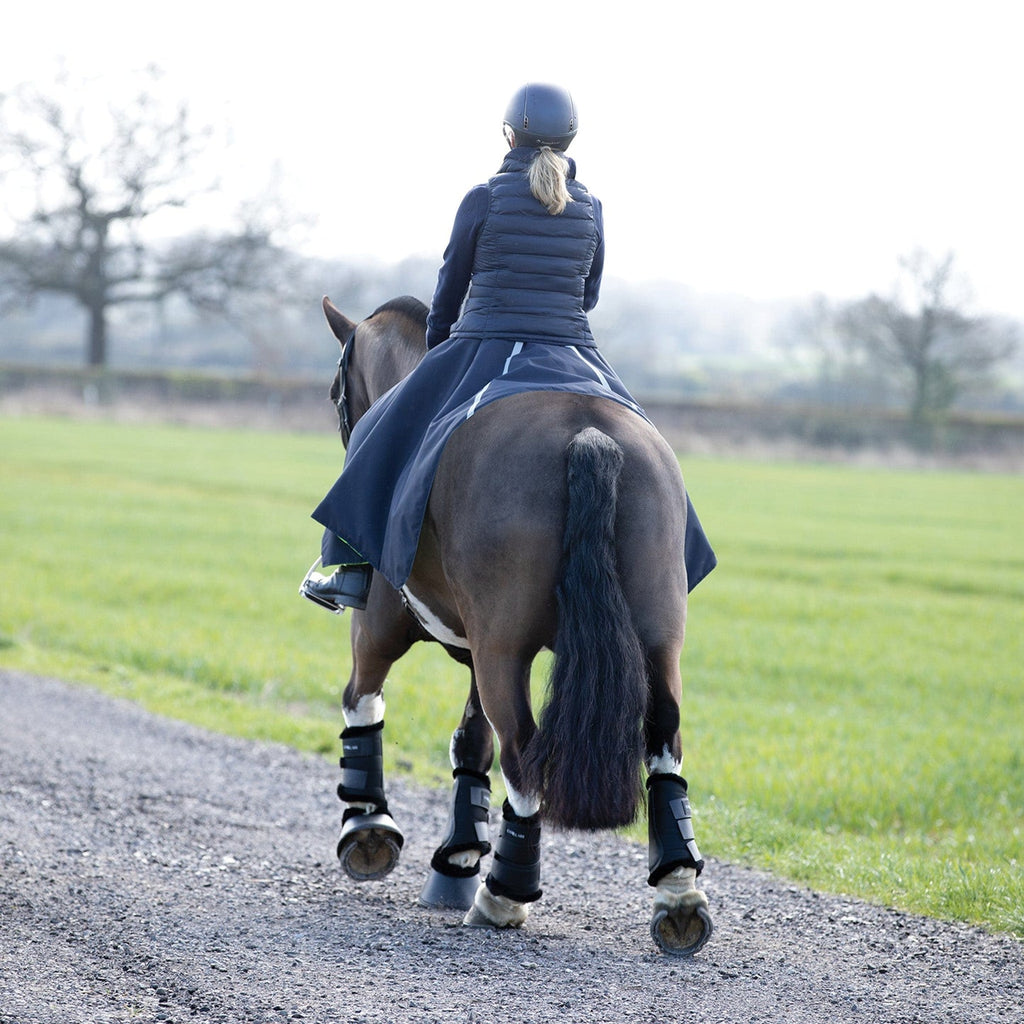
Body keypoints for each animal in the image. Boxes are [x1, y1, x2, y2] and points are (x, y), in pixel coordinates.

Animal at [315, 292, 708, 954]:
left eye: (335, 391)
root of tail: (587, 433)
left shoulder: (378, 630)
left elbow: (361, 703)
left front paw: (369, 827)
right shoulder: (476, 652)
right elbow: (469, 740)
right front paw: (456, 858)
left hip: (500, 651)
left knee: (523, 754)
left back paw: (504, 894)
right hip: (655, 644)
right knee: (664, 742)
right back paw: (678, 892)